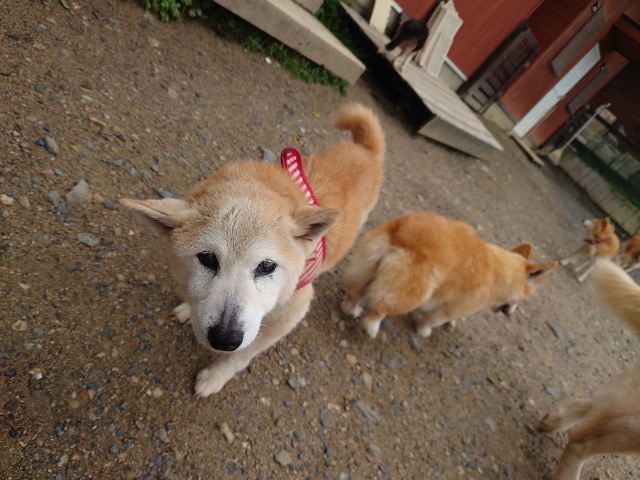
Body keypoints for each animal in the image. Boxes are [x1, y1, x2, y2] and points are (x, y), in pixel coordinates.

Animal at [122, 103, 385, 397]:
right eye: (207, 258)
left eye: (267, 266)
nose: (224, 338)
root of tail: (365, 150)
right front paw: (188, 310)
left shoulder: (290, 314)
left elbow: (240, 356)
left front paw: (215, 377)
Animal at [341, 212, 557, 339]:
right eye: (523, 301)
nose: (512, 314)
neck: (501, 271)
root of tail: (408, 233)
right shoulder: (454, 307)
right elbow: (433, 320)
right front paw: (423, 331)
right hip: (412, 293)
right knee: (378, 310)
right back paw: (372, 329)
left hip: (367, 267)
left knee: (355, 292)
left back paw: (352, 310)